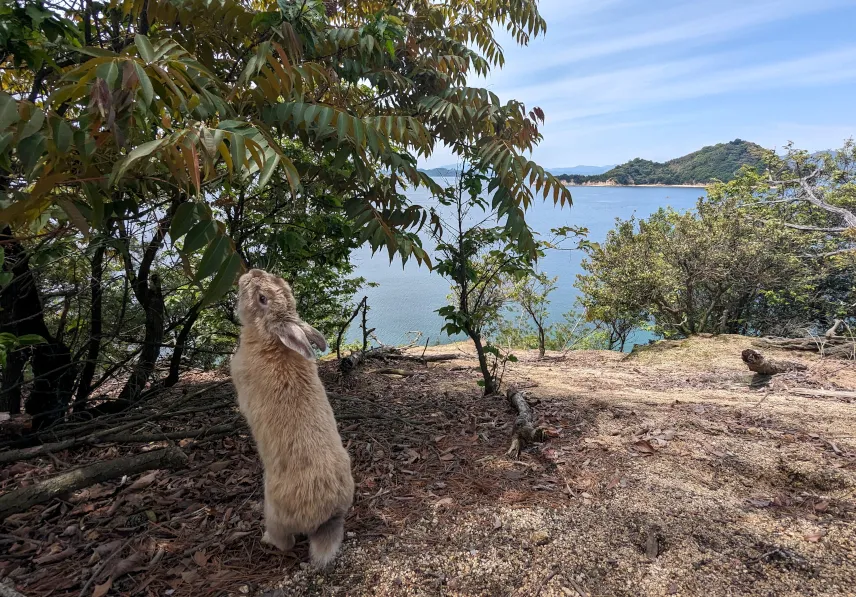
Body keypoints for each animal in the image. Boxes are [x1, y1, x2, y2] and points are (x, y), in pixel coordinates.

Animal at [229, 268, 352, 564]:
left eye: (262, 298)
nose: (253, 272)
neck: (269, 339)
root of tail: (326, 516)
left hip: (275, 512)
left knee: (284, 541)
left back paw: (266, 539)